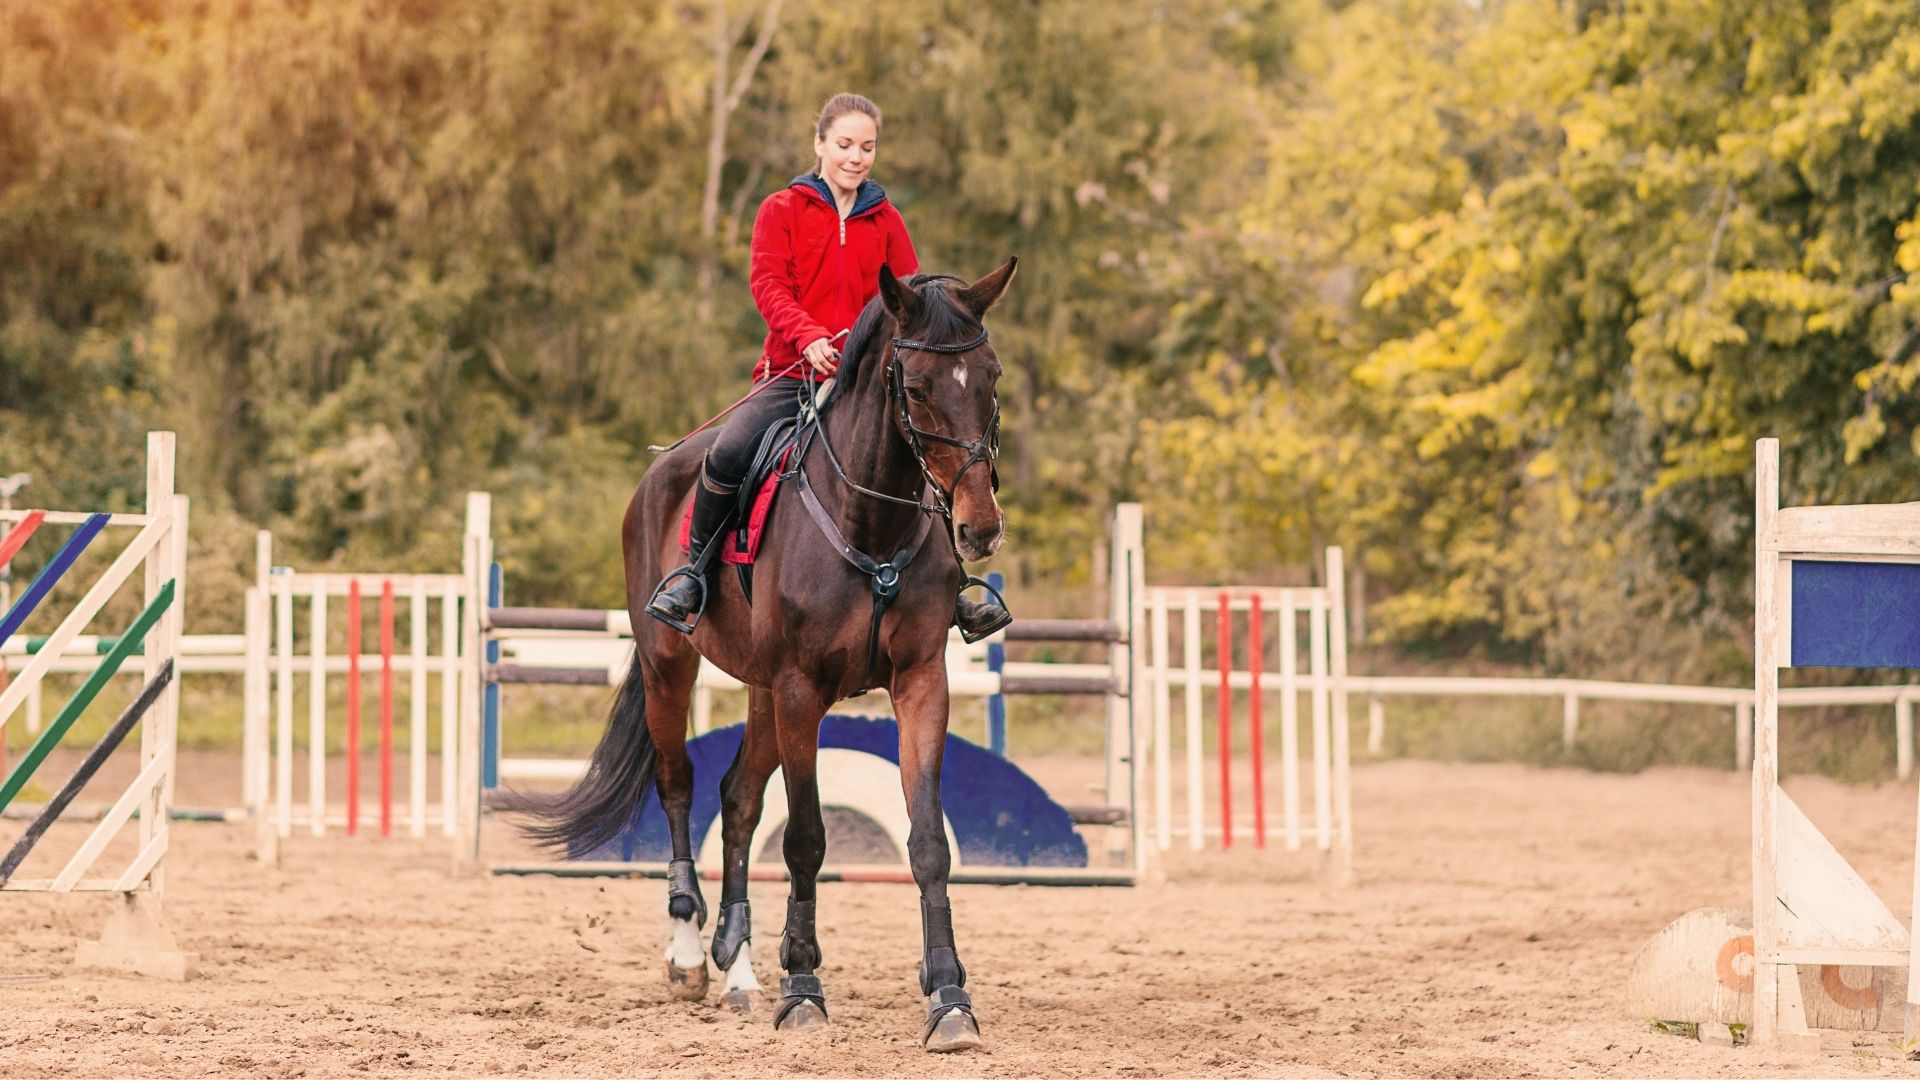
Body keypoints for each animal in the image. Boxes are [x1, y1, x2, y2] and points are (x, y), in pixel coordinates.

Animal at [500, 259, 1017, 1053]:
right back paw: (689, 952)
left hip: (760, 690)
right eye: (918, 388)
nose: (979, 528)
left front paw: (949, 997)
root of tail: (664, 470)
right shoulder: (802, 688)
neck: (870, 521)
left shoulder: (920, 683)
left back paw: (739, 967)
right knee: (678, 784)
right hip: (672, 668)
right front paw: (802, 986)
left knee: (739, 800)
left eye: (990, 378)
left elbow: (928, 841)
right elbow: (804, 838)